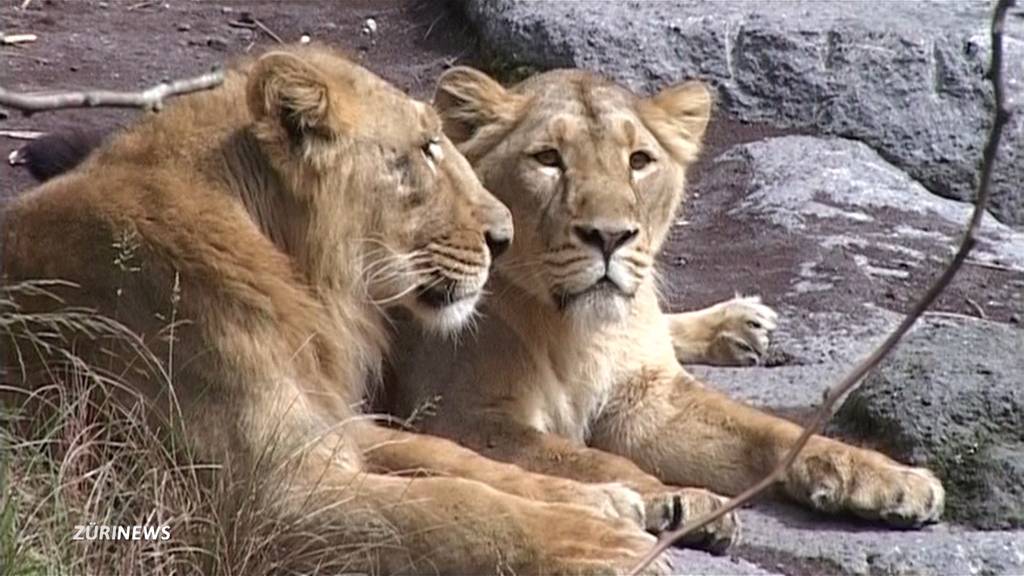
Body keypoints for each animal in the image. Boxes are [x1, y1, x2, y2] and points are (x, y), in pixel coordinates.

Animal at [4, 45, 679, 573]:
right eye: (426, 149)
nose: (505, 237)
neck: (298, 273)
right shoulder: (271, 501)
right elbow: (447, 511)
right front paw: (604, 545)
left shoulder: (331, 421)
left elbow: (452, 459)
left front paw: (603, 497)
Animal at [385, 67, 942, 541]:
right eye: (548, 159)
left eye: (639, 161)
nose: (610, 237)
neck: (580, 331)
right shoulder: (460, 415)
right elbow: (584, 459)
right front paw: (673, 497)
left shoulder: (650, 402)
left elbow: (771, 430)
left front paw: (889, 478)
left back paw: (738, 327)